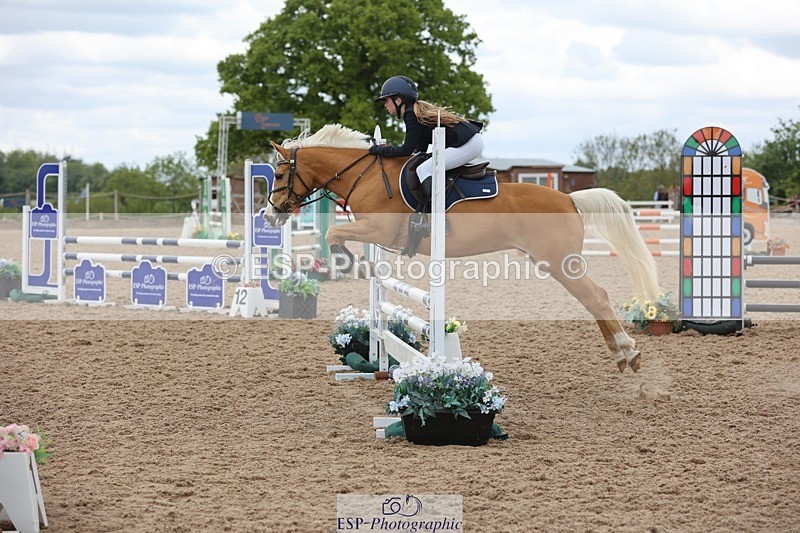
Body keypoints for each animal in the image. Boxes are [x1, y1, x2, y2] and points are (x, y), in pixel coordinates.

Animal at [265, 124, 662, 372]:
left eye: (281, 175)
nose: (270, 215)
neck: (364, 175)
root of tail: (569, 197)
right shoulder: (374, 233)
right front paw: (363, 267)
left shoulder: (380, 229)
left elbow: (334, 234)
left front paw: (349, 262)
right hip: (553, 261)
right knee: (592, 300)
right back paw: (621, 354)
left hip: (560, 261)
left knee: (597, 296)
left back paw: (628, 352)